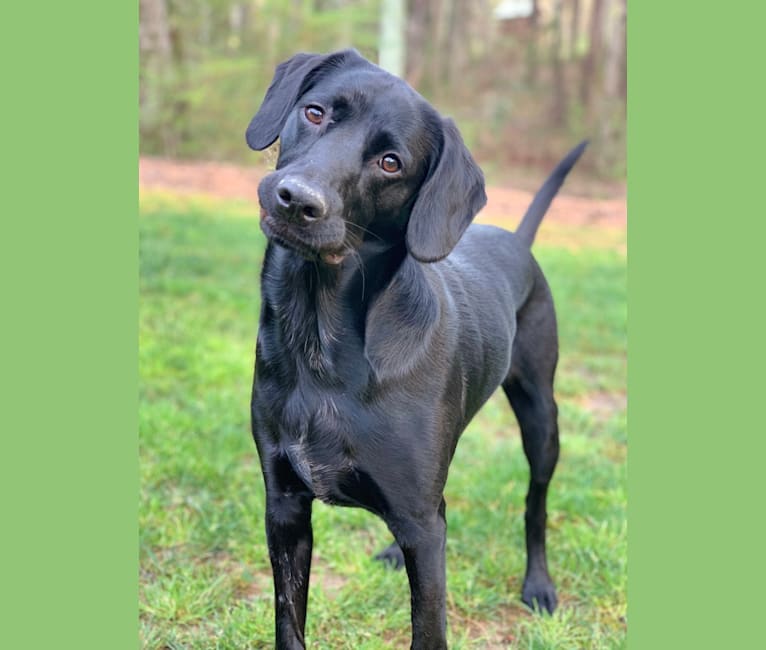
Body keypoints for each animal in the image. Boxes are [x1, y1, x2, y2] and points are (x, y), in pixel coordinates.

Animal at [249, 48, 584, 644]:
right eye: (314, 112)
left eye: (391, 163)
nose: (297, 200)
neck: (319, 338)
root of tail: (516, 240)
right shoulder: (285, 507)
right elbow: (289, 624)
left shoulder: (425, 531)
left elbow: (428, 631)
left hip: (541, 417)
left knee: (536, 503)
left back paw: (539, 585)